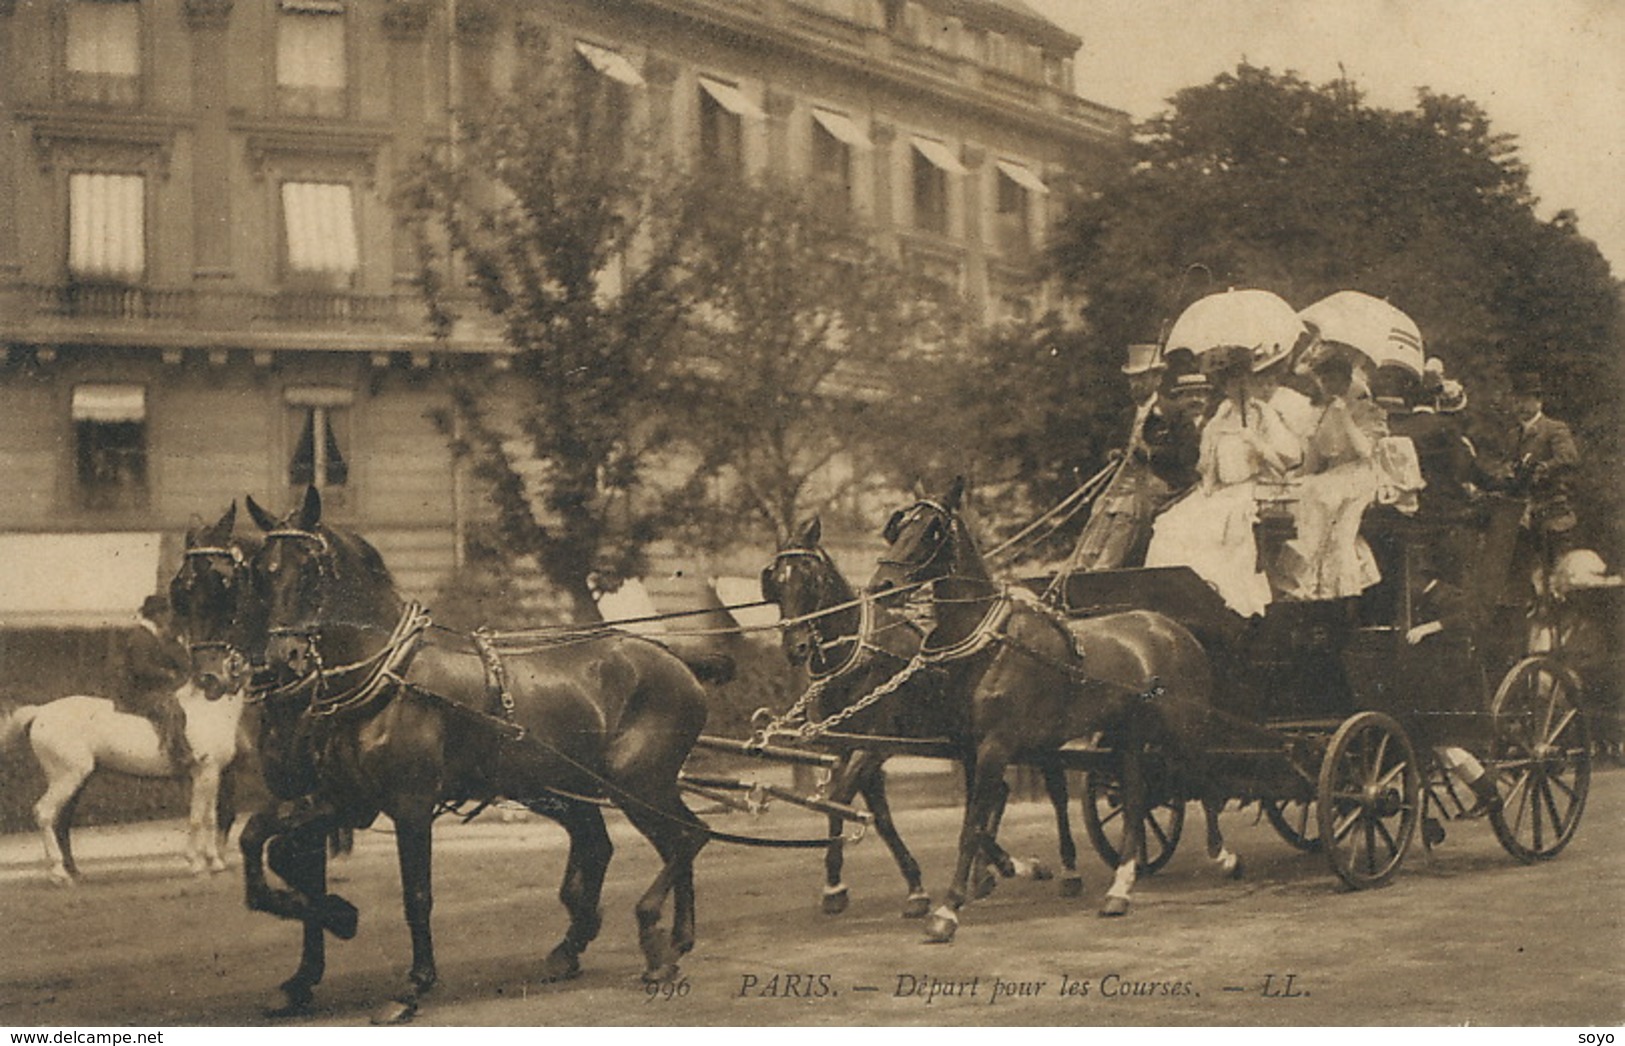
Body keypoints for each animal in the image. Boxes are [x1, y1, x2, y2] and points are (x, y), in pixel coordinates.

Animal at [0, 682, 247, 883]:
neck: (210, 710)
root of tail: (40, 712)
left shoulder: (213, 775)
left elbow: (210, 817)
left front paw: (215, 862)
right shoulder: (204, 773)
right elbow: (197, 819)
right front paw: (196, 864)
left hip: (69, 780)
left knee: (60, 820)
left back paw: (68, 872)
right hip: (68, 778)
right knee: (44, 812)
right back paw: (59, 872)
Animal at [238, 487, 705, 1020]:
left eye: (309, 569)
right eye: (260, 572)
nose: (282, 660)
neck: (389, 677)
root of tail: (675, 661)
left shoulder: (411, 804)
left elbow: (416, 894)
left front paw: (414, 984)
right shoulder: (347, 798)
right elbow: (257, 840)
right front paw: (337, 916)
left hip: (636, 784)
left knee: (687, 837)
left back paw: (655, 940)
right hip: (575, 787)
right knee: (651, 841)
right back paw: (651, 943)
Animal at [760, 516, 1079, 916]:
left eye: (811, 578)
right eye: (776, 582)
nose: (796, 647)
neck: (856, 657)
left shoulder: (874, 746)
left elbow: (840, 799)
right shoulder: (846, 748)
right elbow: (870, 813)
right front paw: (901, 886)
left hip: (1035, 735)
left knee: (1055, 791)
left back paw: (1058, 868)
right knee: (996, 792)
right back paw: (983, 873)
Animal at [871, 477, 1235, 942]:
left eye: (932, 530)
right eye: (898, 527)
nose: (881, 584)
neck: (989, 646)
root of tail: (1174, 629)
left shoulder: (996, 746)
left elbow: (972, 828)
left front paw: (948, 910)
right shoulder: (970, 749)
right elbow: (976, 824)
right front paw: (1018, 868)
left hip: (1184, 726)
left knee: (1204, 780)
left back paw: (1223, 856)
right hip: (1129, 734)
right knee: (1137, 796)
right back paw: (1120, 887)